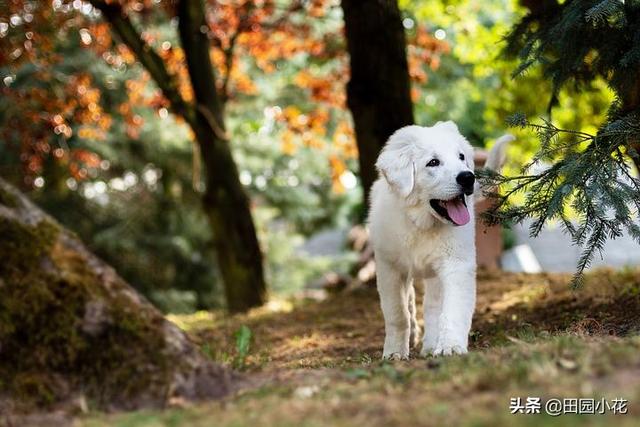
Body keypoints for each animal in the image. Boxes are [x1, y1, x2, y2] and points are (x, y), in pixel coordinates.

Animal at [368, 122, 512, 360]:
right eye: (433, 162)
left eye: (461, 156)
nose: (468, 177)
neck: (422, 224)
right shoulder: (389, 267)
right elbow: (397, 313)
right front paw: (395, 352)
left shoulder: (456, 264)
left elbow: (452, 310)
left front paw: (450, 346)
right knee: (411, 302)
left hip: (436, 274)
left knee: (433, 307)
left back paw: (430, 346)